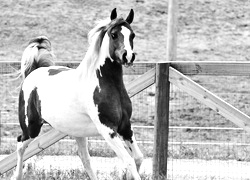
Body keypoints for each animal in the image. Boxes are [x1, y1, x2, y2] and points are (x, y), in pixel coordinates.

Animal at [13, 8, 143, 180]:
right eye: (114, 34)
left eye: (132, 35)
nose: (127, 56)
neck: (106, 85)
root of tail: (34, 71)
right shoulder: (108, 130)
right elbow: (129, 161)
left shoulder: (126, 126)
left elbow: (138, 158)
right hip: (31, 128)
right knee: (20, 145)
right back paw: (17, 175)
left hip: (77, 132)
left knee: (85, 159)